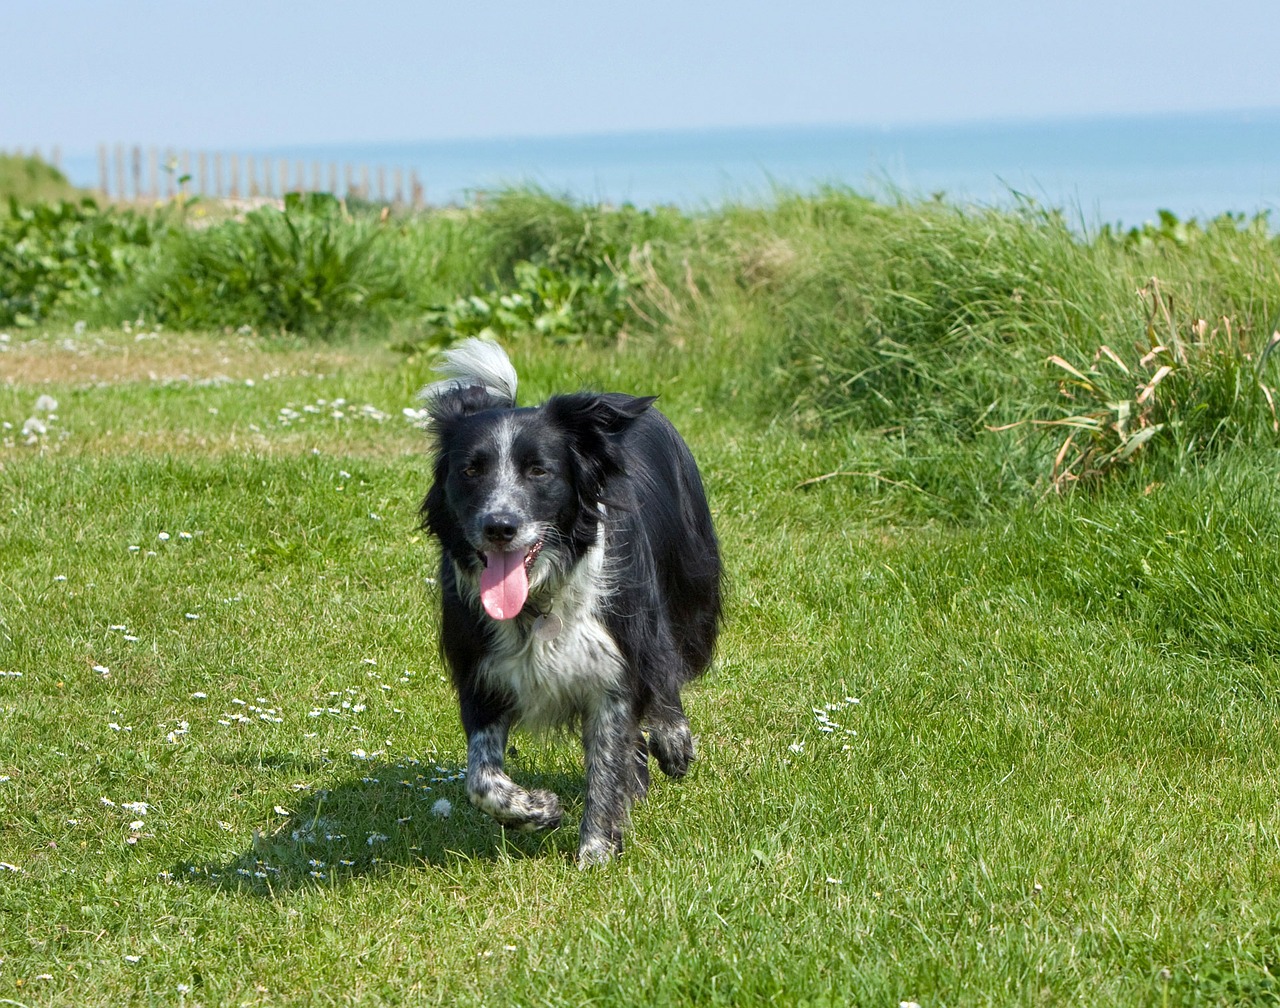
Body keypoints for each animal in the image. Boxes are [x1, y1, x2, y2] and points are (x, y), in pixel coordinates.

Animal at [417, 340, 721, 864]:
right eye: (470, 470)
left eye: (539, 470)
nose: (500, 527)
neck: (536, 603)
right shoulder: (480, 668)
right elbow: (481, 780)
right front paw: (538, 810)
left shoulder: (615, 660)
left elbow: (607, 759)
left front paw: (595, 855)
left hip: (687, 579)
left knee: (668, 663)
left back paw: (672, 742)